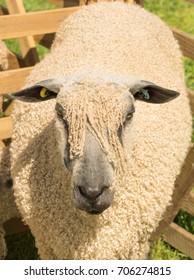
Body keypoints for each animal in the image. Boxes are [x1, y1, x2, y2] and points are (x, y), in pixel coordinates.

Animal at [9, 2, 191, 260]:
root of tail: (115, 4)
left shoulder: (134, 245)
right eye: (60, 114)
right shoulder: (49, 246)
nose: (92, 193)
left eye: (129, 115)